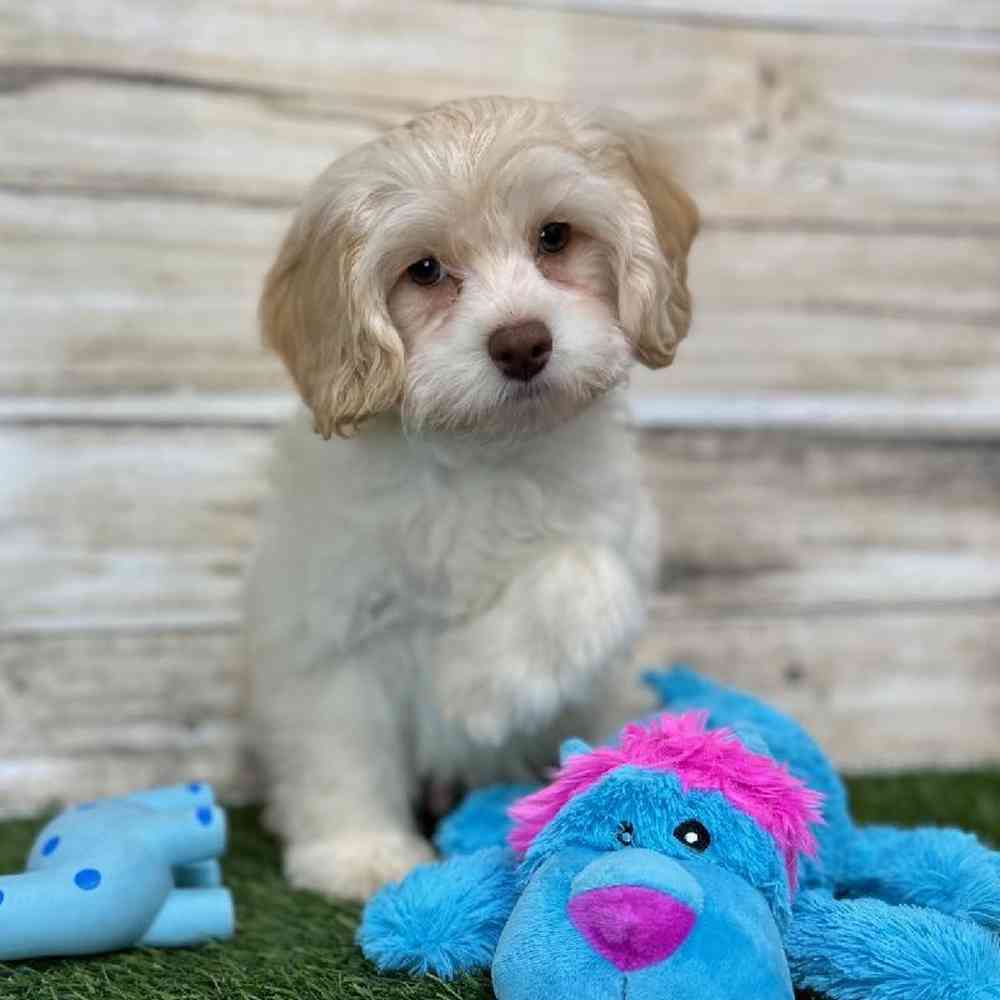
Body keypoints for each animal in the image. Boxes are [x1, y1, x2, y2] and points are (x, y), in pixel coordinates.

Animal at [246, 97, 700, 904]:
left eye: (555, 236)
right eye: (424, 270)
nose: (522, 343)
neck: (485, 452)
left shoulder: (618, 527)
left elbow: (589, 574)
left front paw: (472, 688)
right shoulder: (330, 619)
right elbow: (340, 743)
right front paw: (357, 852)